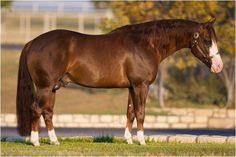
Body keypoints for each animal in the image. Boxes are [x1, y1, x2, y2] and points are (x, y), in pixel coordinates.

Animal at [16, 18, 223, 146]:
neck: (147, 44)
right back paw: (35, 141)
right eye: (206, 40)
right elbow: (140, 113)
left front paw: (128, 140)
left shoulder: (132, 87)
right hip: (44, 87)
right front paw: (141, 141)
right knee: (36, 109)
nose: (218, 66)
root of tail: (32, 43)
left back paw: (54, 141)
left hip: (51, 88)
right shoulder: (141, 86)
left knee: (47, 112)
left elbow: (130, 112)